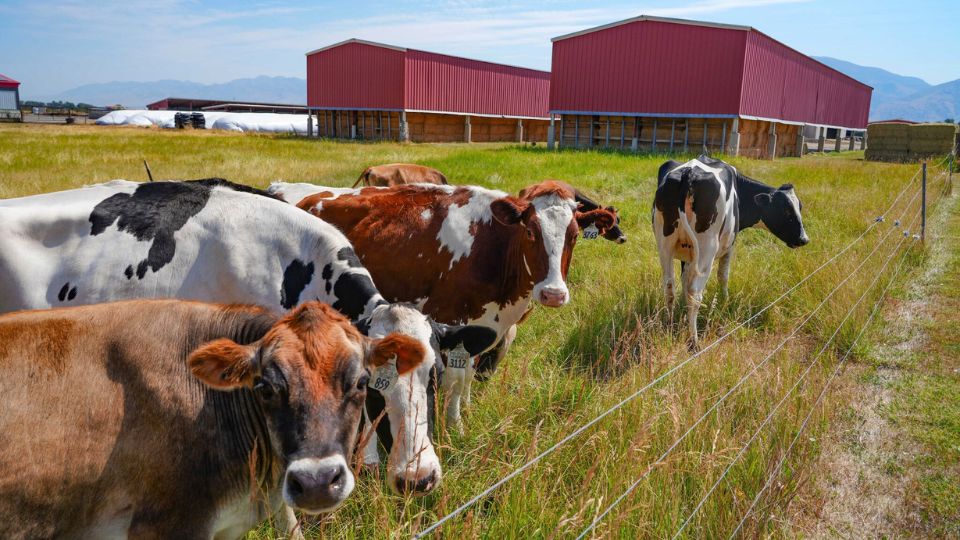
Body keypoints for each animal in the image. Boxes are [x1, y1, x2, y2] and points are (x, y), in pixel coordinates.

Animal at [653, 155, 809, 350]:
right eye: (786, 210)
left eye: (799, 207)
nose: (804, 239)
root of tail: (689, 172)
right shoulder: (729, 246)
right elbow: (723, 276)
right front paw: (724, 303)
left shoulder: (687, 253)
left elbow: (684, 280)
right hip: (706, 249)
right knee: (695, 293)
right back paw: (694, 342)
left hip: (664, 246)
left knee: (669, 287)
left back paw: (668, 326)